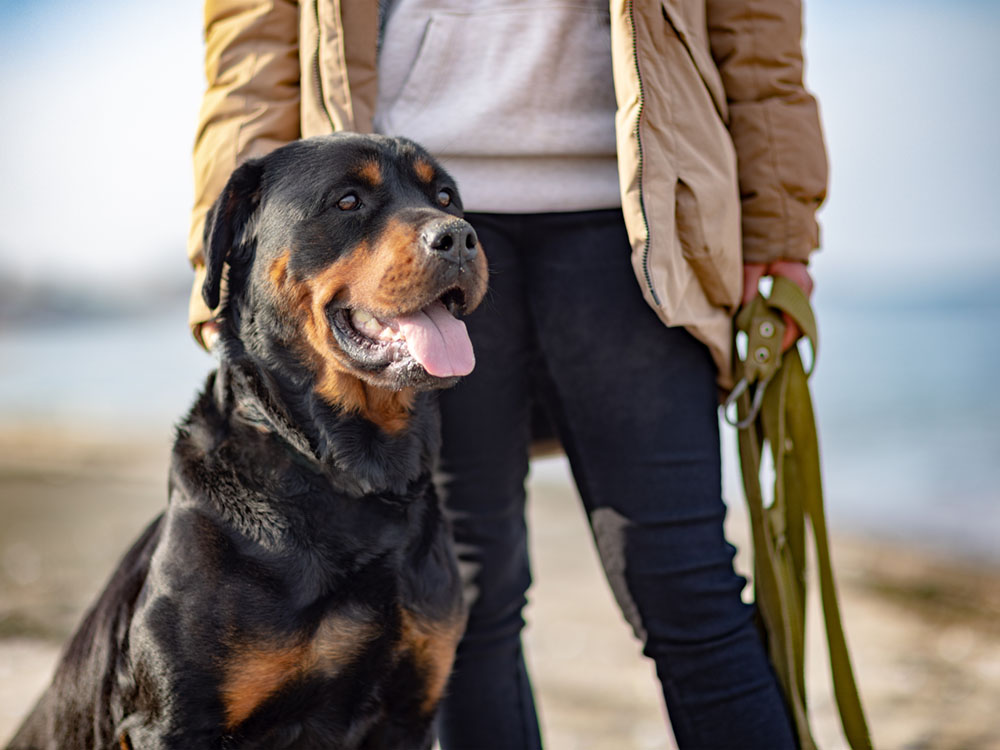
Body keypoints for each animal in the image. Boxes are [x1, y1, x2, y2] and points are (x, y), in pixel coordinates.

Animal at [5, 135, 490, 750]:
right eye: (348, 201)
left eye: (446, 196)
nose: (458, 236)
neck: (350, 475)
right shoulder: (176, 722)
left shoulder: (409, 713)